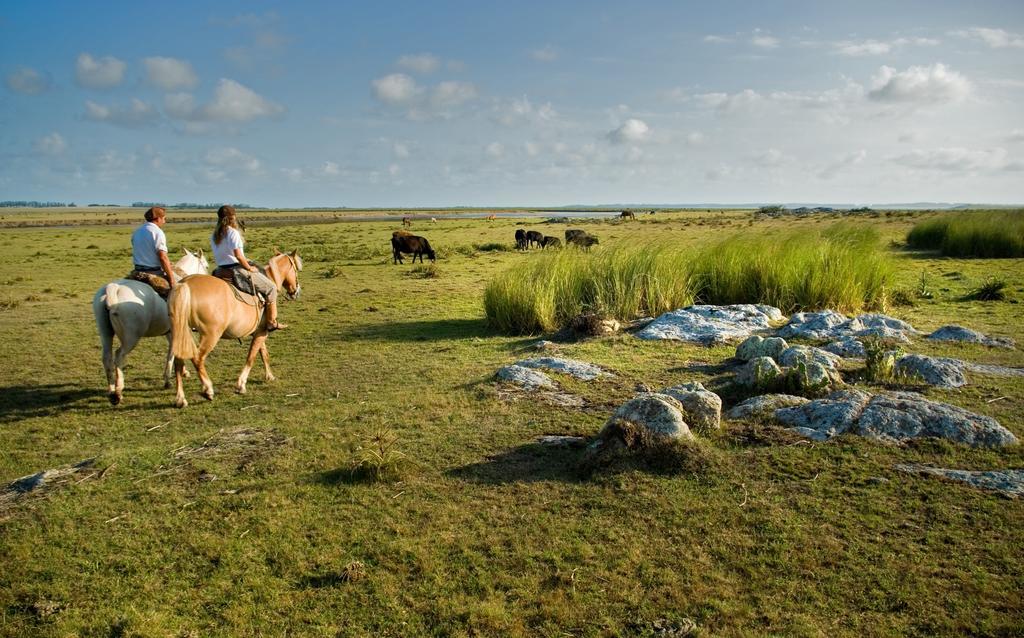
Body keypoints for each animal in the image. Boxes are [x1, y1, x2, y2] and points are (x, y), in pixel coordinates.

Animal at [93, 249, 208, 403]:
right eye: (206, 266)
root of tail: (113, 289)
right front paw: (169, 379)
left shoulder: (170, 332)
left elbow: (173, 350)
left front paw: (179, 373)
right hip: (131, 338)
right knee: (118, 356)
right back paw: (118, 391)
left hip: (105, 332)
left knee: (107, 357)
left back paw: (111, 391)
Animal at [167, 250, 301, 409]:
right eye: (295, 270)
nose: (296, 291)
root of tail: (185, 284)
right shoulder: (262, 332)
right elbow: (251, 357)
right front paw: (241, 384)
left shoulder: (259, 332)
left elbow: (263, 353)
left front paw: (269, 376)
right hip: (210, 335)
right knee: (197, 358)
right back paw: (208, 390)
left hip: (182, 333)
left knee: (178, 360)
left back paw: (180, 399)